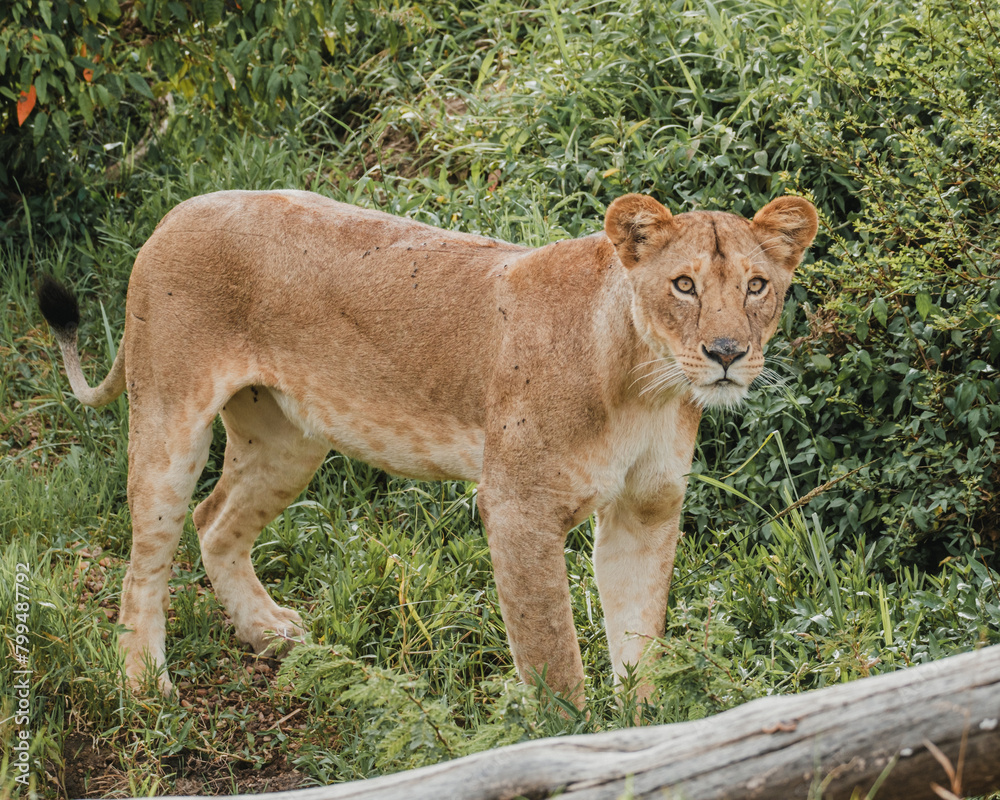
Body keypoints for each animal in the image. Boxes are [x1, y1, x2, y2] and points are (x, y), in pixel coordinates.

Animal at [38, 190, 817, 706]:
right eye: (683, 285)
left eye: (757, 286)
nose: (726, 353)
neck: (644, 385)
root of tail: (176, 211)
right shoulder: (519, 509)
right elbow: (554, 658)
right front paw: (569, 743)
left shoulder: (645, 510)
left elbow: (639, 636)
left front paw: (651, 732)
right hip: (170, 421)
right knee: (146, 559)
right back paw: (145, 687)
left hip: (287, 441)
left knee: (216, 522)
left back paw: (269, 635)